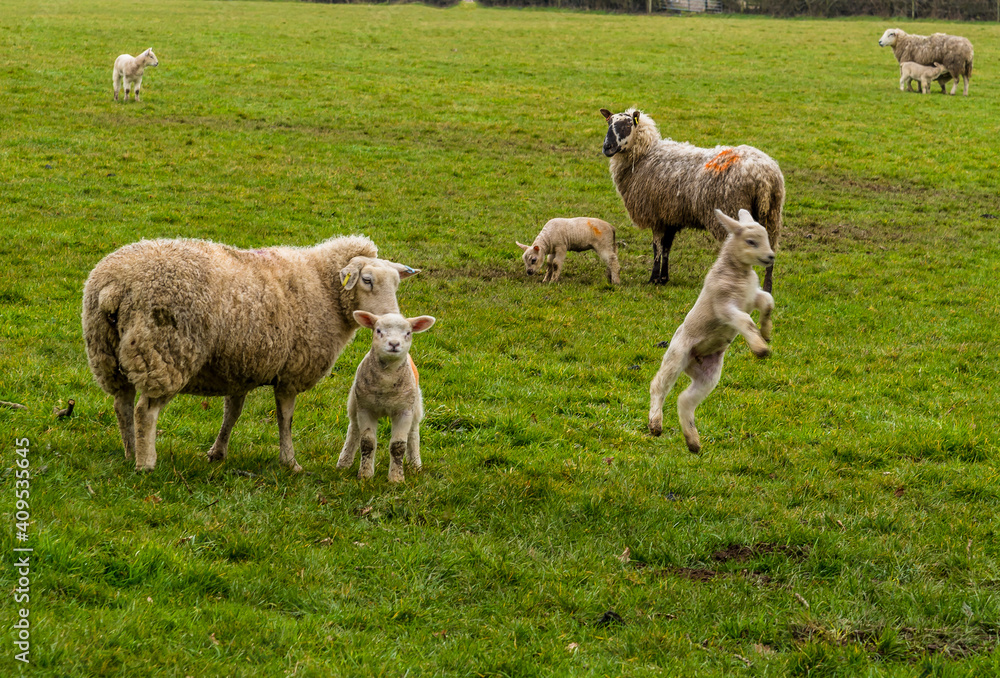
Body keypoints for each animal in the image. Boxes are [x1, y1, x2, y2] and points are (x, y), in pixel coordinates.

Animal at [81, 235, 419, 473]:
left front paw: (217, 453)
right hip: (164, 352)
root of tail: (114, 286)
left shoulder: (240, 366)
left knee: (122, 404)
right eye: (367, 280)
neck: (322, 287)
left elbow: (232, 414)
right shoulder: (290, 372)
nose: (392, 323)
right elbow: (286, 418)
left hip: (107, 353)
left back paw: (130, 452)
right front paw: (290, 462)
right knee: (144, 411)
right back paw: (145, 462)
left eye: (397, 283)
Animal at [336, 311, 435, 483]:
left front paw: (396, 479)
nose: (394, 344)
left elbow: (398, 446)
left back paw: (415, 464)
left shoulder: (404, 411)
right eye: (378, 330)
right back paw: (344, 462)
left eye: (408, 333)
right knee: (353, 429)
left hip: (415, 405)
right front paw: (365, 476)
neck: (386, 383)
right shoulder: (365, 408)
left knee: (413, 432)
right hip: (354, 402)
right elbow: (367, 443)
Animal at [600, 108, 784, 293]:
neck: (644, 155)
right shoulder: (670, 215)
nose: (607, 147)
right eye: (609, 123)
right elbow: (666, 246)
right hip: (772, 215)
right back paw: (767, 288)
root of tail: (763, 176)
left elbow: (656, 247)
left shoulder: (655, 214)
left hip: (734, 209)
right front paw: (663, 279)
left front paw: (653, 279)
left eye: (627, 125)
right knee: (769, 249)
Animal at [648, 209, 774, 453]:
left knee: (685, 400)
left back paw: (693, 442)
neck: (738, 273)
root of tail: (693, 360)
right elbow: (745, 320)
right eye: (751, 241)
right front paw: (760, 348)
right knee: (658, 386)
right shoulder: (724, 306)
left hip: (708, 374)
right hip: (677, 354)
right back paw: (655, 424)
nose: (771, 256)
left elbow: (768, 302)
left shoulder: (751, 297)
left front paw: (765, 332)